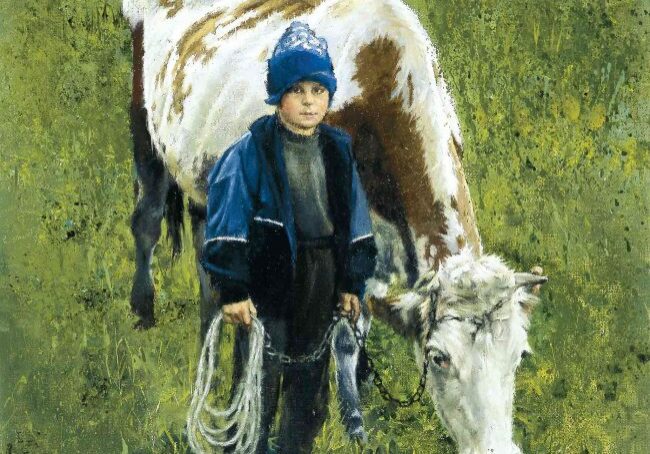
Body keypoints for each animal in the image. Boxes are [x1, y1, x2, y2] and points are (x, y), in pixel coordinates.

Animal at [120, 1, 540, 452]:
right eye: (438, 357)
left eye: (520, 355)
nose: (498, 449)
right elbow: (342, 335)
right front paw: (354, 422)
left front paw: (362, 393)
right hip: (144, 128)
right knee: (146, 221)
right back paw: (143, 310)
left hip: (205, 182)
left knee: (208, 262)